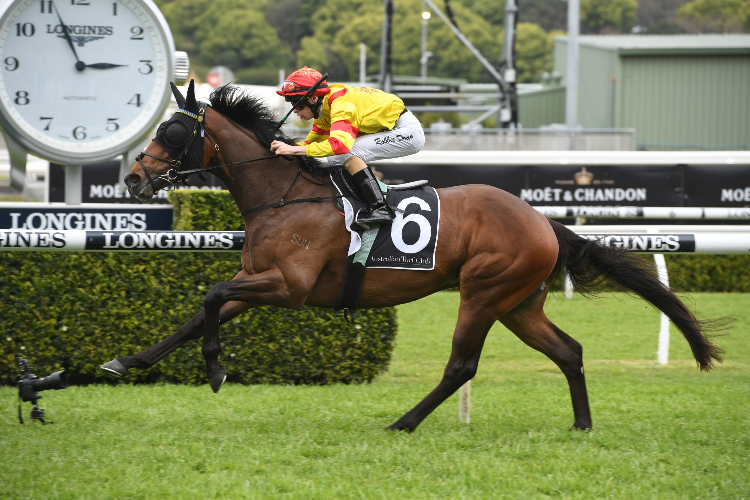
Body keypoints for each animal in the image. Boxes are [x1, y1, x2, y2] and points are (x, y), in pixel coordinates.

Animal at [103, 80, 724, 432]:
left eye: (175, 131)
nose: (132, 179)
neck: (281, 193)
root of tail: (541, 221)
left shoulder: (289, 286)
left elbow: (210, 296)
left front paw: (214, 369)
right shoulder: (257, 278)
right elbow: (197, 314)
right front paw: (126, 362)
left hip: (484, 293)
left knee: (462, 365)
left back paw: (404, 422)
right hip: (519, 303)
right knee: (568, 351)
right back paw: (582, 424)